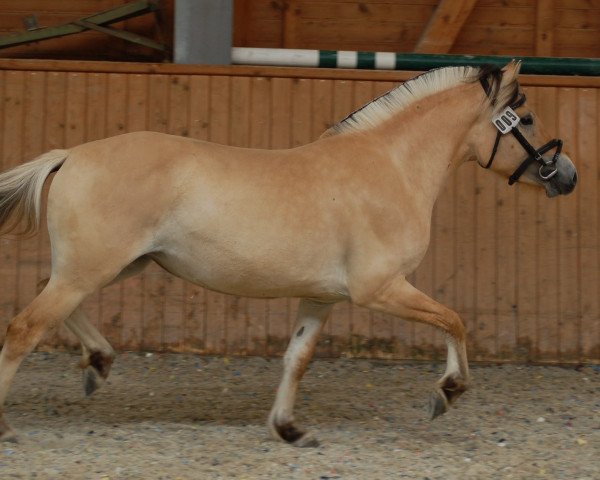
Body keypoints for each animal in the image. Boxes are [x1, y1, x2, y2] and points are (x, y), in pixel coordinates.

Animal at [0, 62, 576, 446]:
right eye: (526, 119)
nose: (566, 176)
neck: (391, 167)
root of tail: (70, 155)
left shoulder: (322, 298)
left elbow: (296, 358)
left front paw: (289, 429)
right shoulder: (381, 290)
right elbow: (454, 320)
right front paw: (447, 393)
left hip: (111, 266)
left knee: (55, 307)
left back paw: (98, 363)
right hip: (93, 268)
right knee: (25, 328)